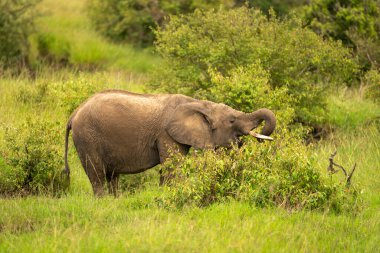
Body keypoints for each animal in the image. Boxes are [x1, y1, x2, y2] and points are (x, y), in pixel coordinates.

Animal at [63, 90, 276, 197]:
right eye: (232, 120)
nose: (261, 136)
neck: (199, 103)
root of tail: (74, 113)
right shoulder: (166, 134)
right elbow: (173, 166)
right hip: (87, 137)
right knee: (97, 173)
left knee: (112, 176)